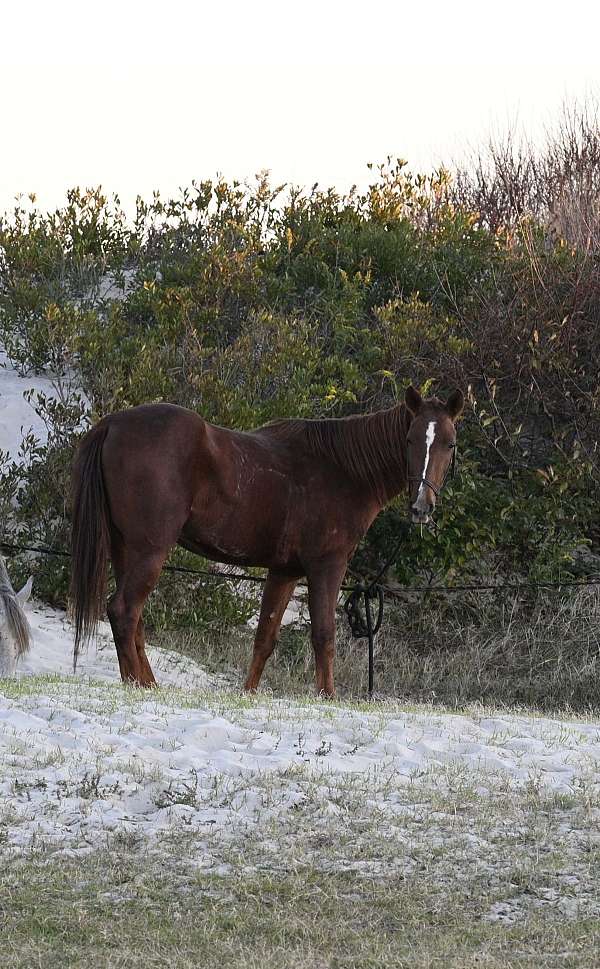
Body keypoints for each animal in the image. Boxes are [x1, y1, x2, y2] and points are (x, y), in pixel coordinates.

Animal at [69, 384, 464, 696]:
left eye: (449, 443)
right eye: (410, 439)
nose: (421, 507)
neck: (341, 470)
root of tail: (112, 423)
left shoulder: (284, 572)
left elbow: (265, 638)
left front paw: (248, 693)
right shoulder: (327, 566)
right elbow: (324, 635)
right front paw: (327, 695)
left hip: (125, 549)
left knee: (133, 618)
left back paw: (147, 683)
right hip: (151, 550)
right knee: (124, 610)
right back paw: (136, 684)